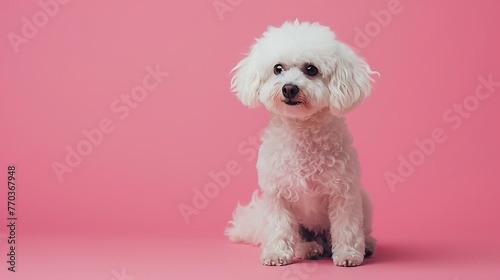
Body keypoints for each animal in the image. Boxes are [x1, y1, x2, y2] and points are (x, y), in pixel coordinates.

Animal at [225, 20, 376, 266]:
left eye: (311, 69)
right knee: (300, 239)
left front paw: (348, 255)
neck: (301, 131)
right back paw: (309, 249)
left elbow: (347, 227)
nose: (289, 88)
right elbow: (279, 227)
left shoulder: (344, 193)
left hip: (365, 200)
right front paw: (276, 253)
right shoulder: (277, 195)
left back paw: (367, 245)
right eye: (277, 68)